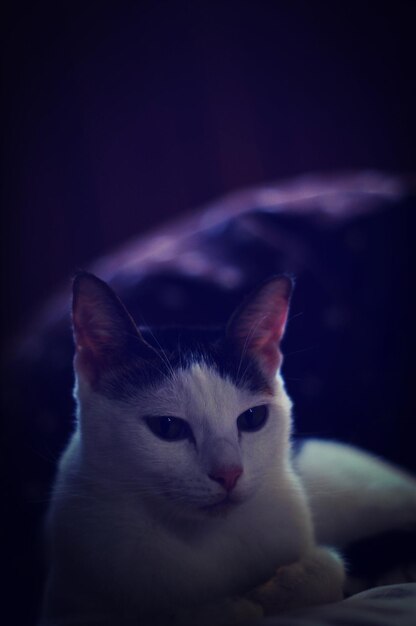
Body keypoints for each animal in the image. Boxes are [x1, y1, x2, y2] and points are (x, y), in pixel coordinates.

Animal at [41, 270, 416, 624]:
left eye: (252, 418)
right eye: (168, 427)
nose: (229, 474)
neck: (202, 540)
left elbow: (328, 569)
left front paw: (281, 589)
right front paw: (220, 609)